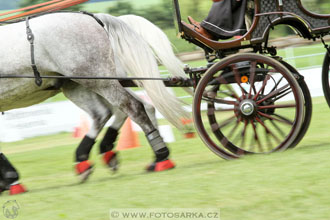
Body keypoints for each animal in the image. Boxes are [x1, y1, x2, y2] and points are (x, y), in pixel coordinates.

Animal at [0, 12, 187, 194]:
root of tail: (94, 18)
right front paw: (8, 179)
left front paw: (11, 179)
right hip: (79, 85)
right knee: (109, 112)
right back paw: (87, 159)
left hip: (98, 80)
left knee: (131, 107)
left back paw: (161, 155)